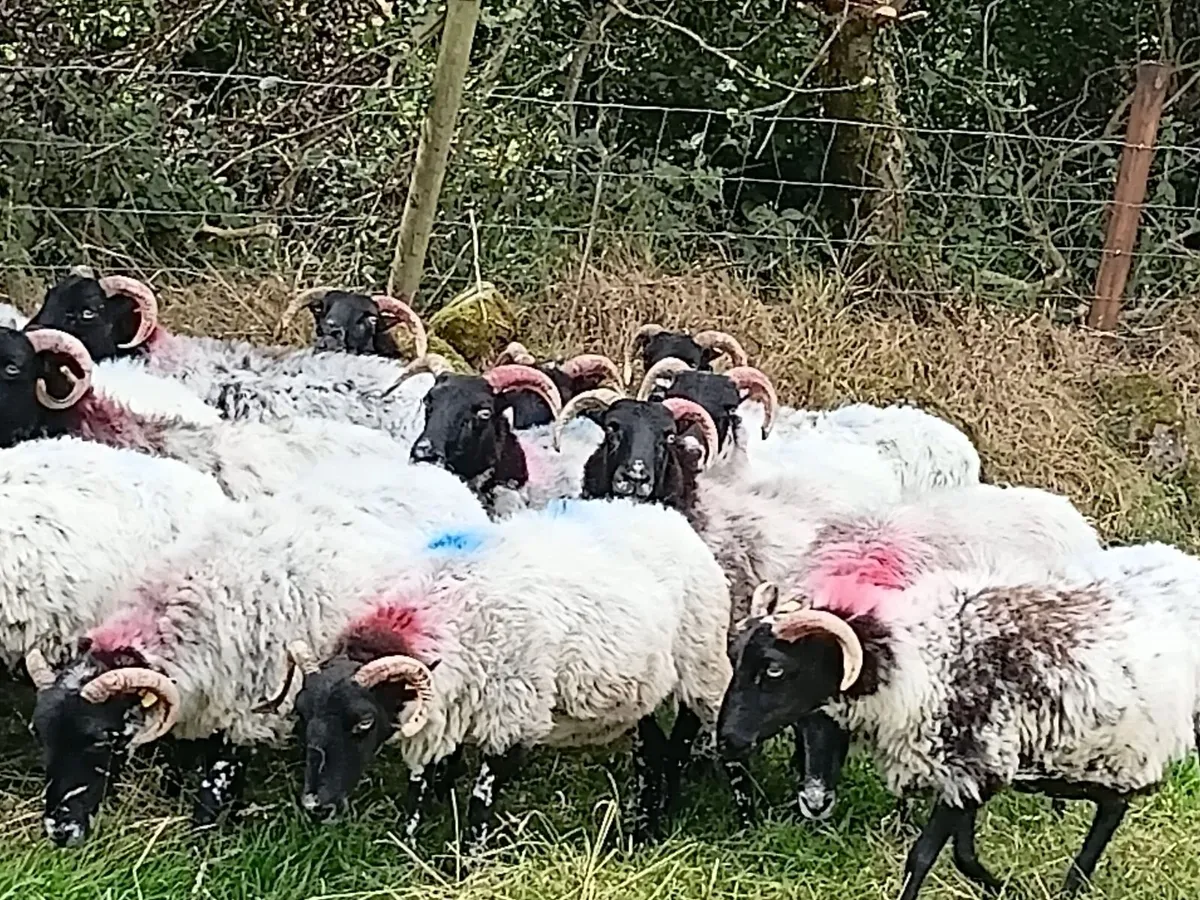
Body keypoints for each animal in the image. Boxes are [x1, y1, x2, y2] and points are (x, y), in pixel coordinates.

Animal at [275, 495, 735, 851]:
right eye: (302, 714)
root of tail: (669, 516)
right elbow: (418, 785)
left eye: (363, 722)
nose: (315, 807)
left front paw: (467, 863)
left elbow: (480, 802)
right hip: (642, 692)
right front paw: (407, 846)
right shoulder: (438, 717)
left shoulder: (514, 720)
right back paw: (644, 831)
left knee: (702, 736)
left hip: (703, 663)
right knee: (652, 755)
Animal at [719, 542, 1200, 898]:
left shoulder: (971, 767)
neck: (915, 662)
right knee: (1110, 803)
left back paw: (1073, 886)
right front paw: (1003, 889)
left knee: (1113, 808)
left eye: (774, 669)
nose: (726, 740)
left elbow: (924, 856)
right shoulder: (965, 773)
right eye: (735, 658)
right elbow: (963, 855)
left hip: (1125, 744)